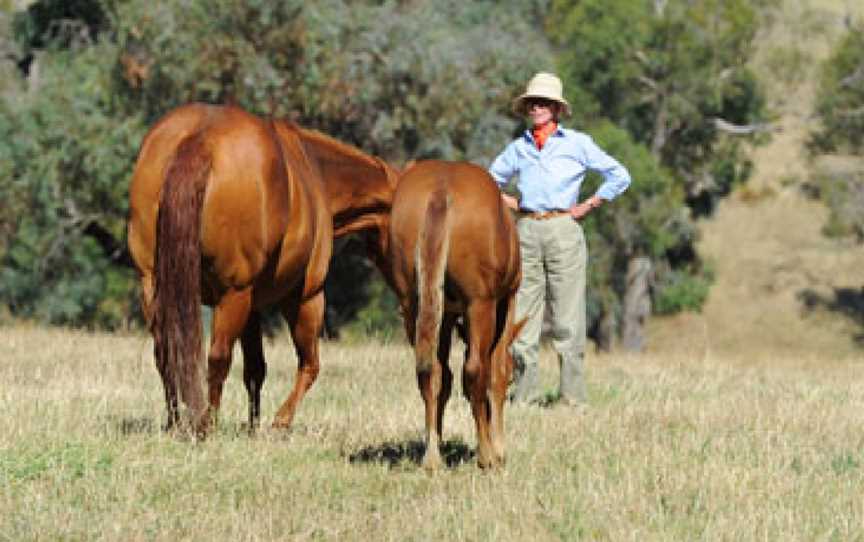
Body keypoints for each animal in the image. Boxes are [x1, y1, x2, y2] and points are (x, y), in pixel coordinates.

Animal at [126, 103, 396, 438]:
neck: (316, 172)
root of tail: (200, 138)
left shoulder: (252, 308)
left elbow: (255, 369)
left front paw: (253, 427)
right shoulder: (305, 298)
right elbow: (309, 365)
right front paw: (279, 422)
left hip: (154, 286)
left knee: (165, 355)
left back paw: (175, 423)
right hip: (236, 295)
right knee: (218, 358)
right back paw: (206, 425)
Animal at [384, 159, 528, 470]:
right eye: (514, 376)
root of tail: (441, 192)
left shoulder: (447, 316)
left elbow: (445, 379)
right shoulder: (505, 301)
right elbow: (495, 372)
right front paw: (499, 449)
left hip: (414, 305)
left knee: (430, 372)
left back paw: (432, 456)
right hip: (480, 304)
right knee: (474, 370)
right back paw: (486, 455)